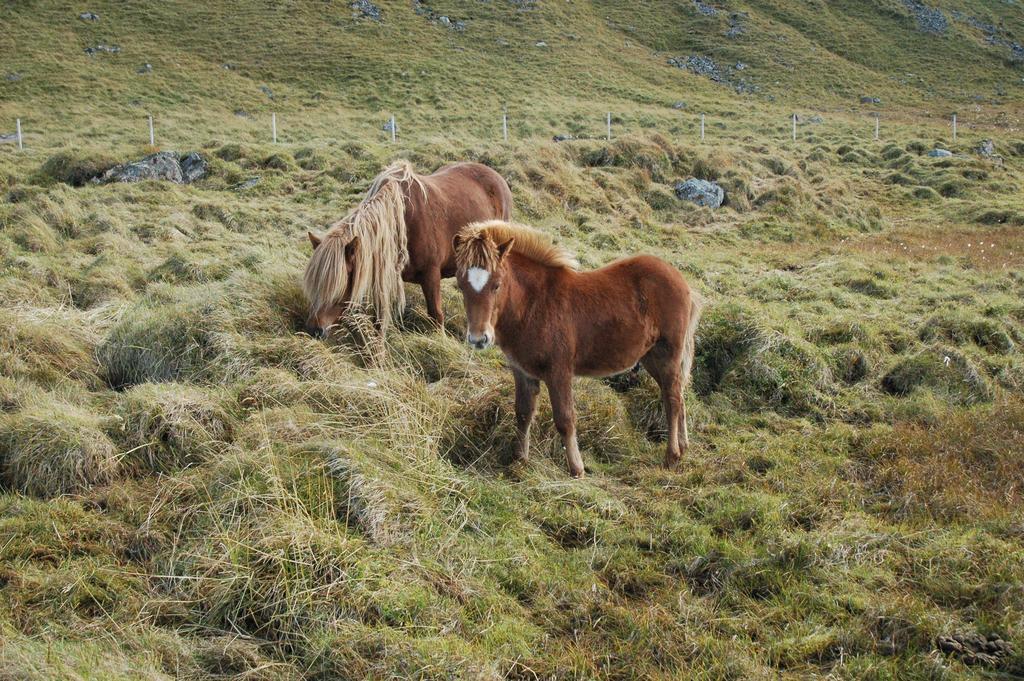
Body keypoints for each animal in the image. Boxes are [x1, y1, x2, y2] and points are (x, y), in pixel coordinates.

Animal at [303, 159, 512, 333]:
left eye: (338, 285)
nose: (314, 330)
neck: (401, 221)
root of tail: (496, 176)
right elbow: (380, 319)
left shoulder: (431, 275)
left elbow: (436, 315)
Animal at [456, 220, 704, 475]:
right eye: (461, 286)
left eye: (496, 285)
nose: (479, 339)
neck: (534, 304)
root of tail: (682, 281)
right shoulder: (523, 372)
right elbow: (523, 414)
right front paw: (520, 461)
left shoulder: (559, 371)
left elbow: (565, 419)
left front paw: (577, 469)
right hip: (651, 357)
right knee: (677, 393)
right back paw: (683, 447)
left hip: (668, 354)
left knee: (672, 400)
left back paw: (672, 457)